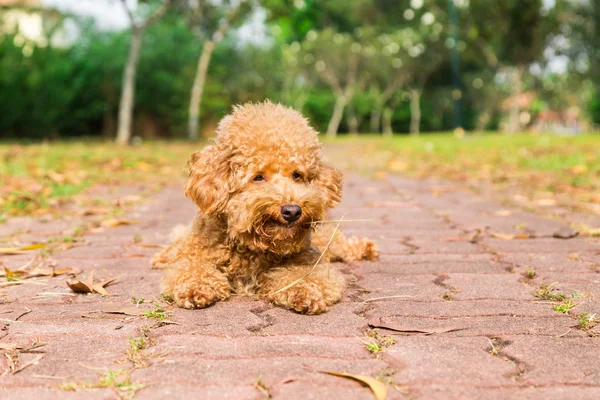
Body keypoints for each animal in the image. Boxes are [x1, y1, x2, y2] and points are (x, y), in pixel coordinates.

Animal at [152, 101, 378, 314]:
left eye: (297, 175)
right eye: (258, 177)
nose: (292, 211)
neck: (251, 246)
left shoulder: (310, 262)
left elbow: (305, 277)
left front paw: (305, 291)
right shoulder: (194, 256)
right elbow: (191, 269)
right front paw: (195, 288)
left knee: (338, 243)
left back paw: (364, 248)